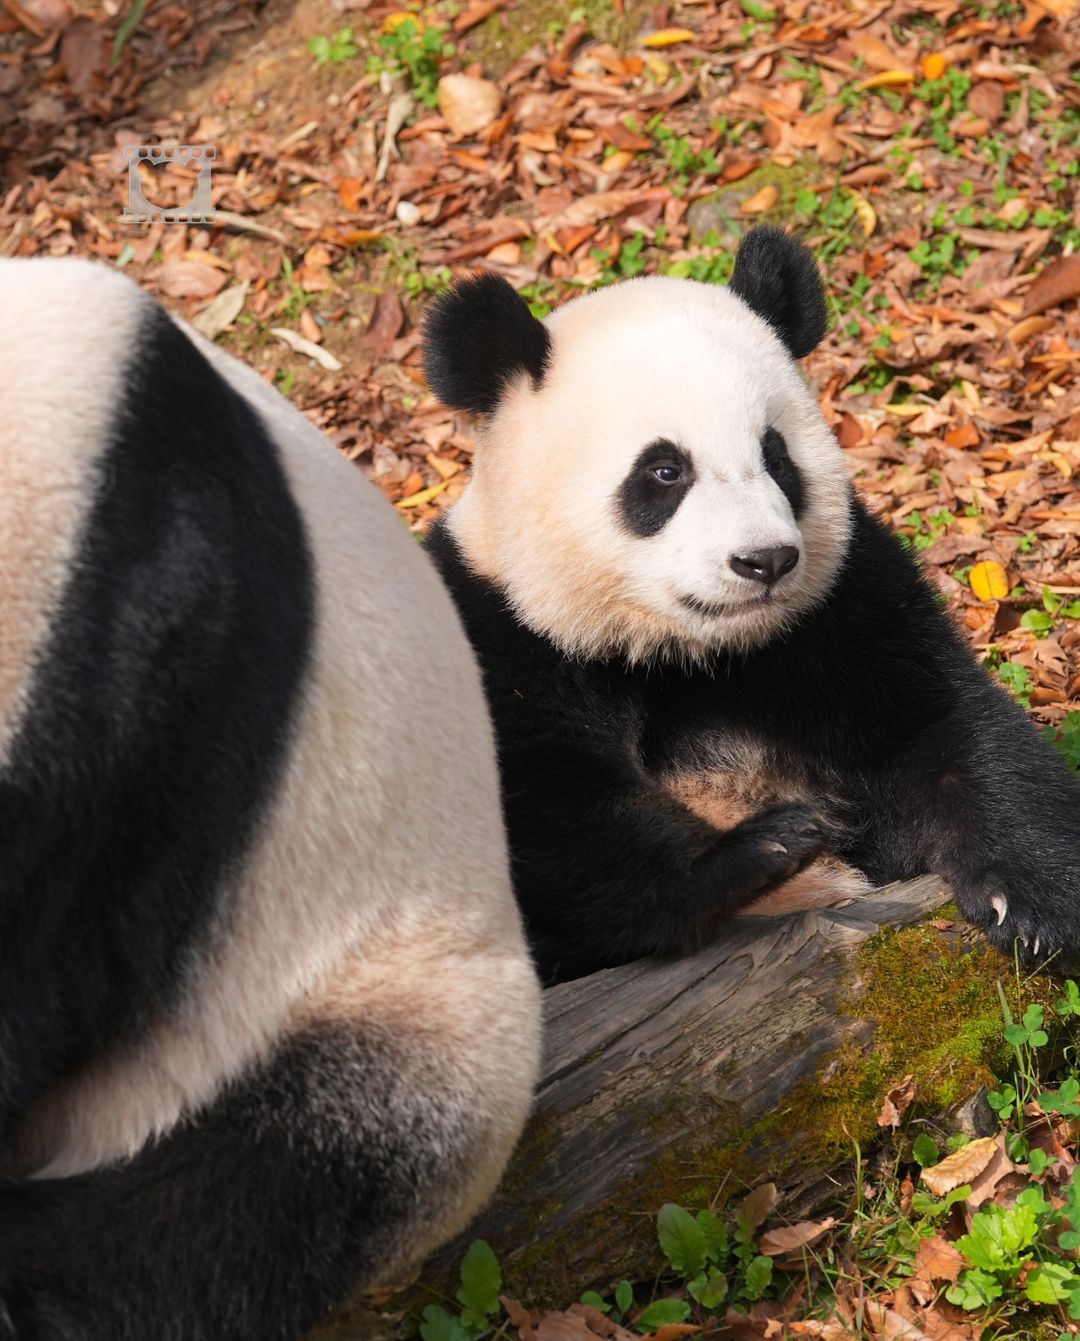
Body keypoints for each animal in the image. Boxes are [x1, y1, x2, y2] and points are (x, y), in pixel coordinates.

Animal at [423, 227, 1080, 986]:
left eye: (776, 456)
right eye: (664, 471)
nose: (765, 561)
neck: (697, 657)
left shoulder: (847, 609)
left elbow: (944, 730)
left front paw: (1033, 904)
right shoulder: (497, 632)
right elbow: (550, 815)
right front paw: (765, 848)